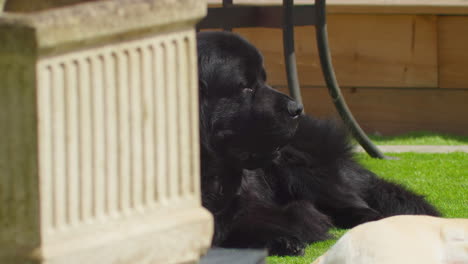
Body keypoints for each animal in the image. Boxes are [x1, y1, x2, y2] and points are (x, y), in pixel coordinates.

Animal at [197, 31, 438, 256]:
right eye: (246, 87)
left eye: (263, 80)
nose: (296, 108)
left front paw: (286, 238)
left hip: (305, 167)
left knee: (358, 204)